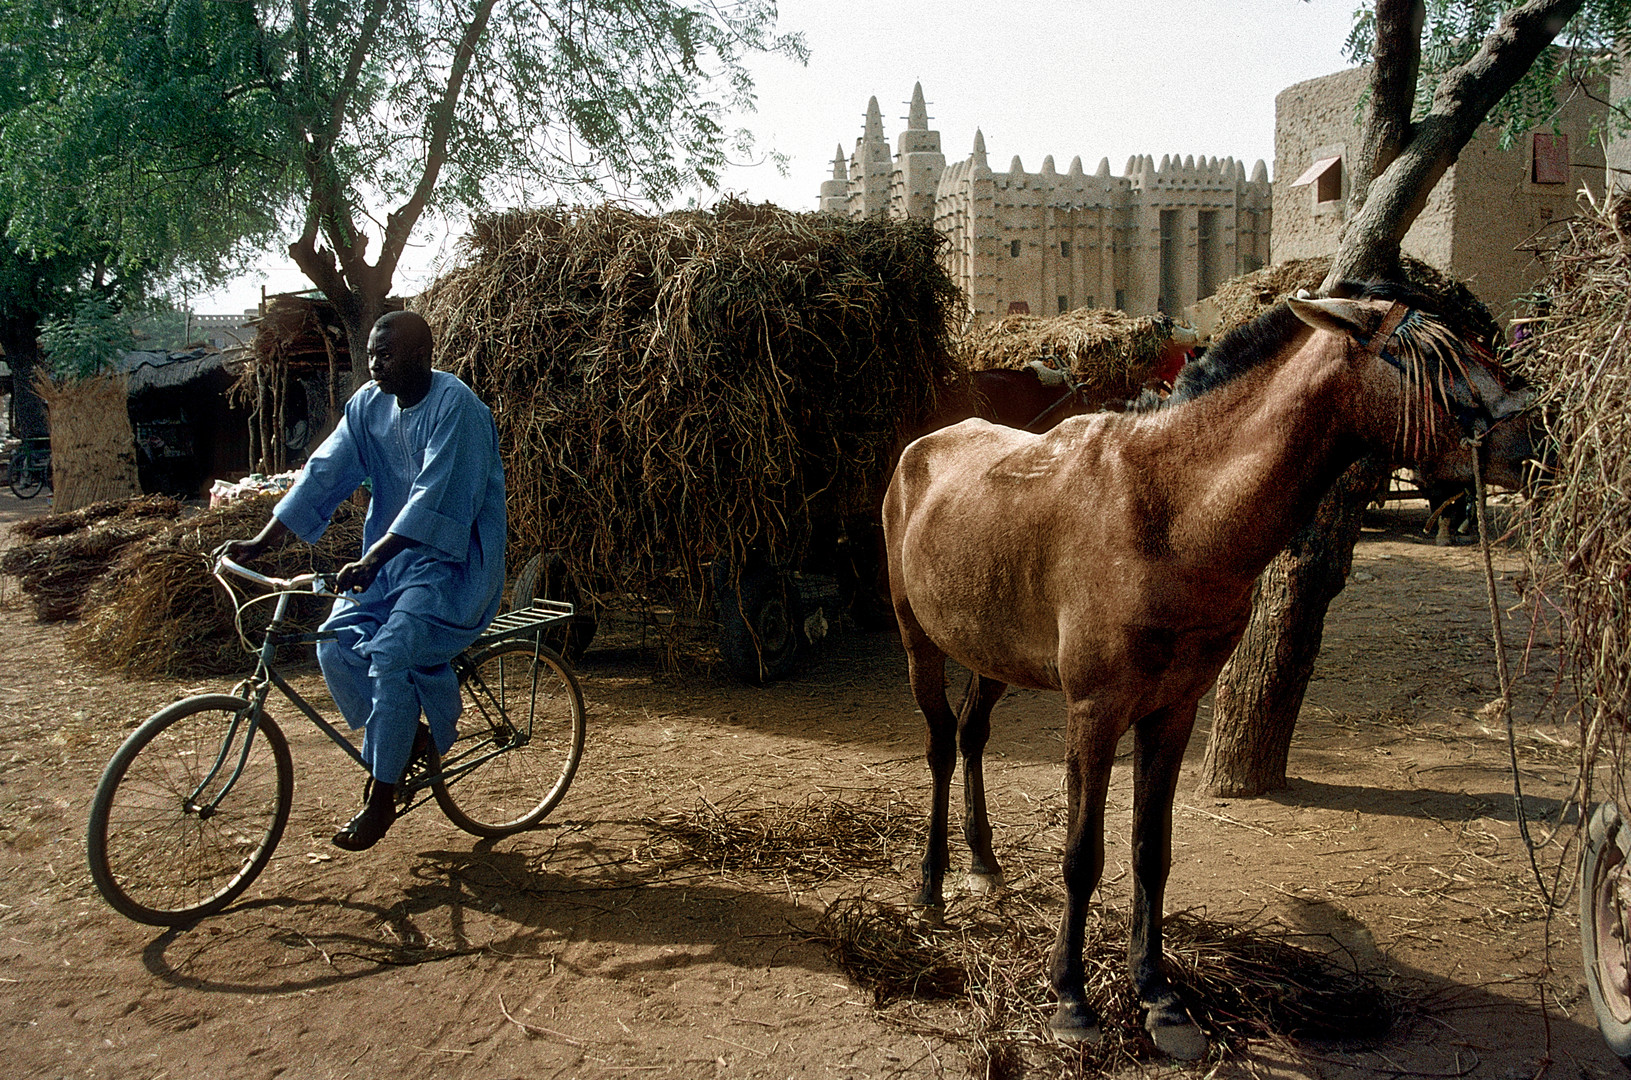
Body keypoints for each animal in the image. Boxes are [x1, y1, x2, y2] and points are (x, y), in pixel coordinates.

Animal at [880, 285, 1526, 1057]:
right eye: (1435, 360)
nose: (1535, 439)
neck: (1173, 511)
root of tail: (920, 449)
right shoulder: (1094, 712)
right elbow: (1082, 855)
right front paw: (1071, 999)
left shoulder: (1176, 707)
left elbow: (1150, 851)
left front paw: (1160, 998)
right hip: (918, 641)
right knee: (941, 747)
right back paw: (930, 888)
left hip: (991, 651)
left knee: (973, 736)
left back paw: (982, 865)